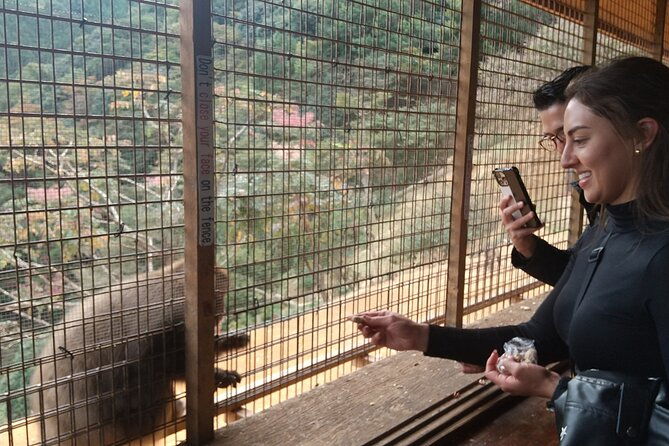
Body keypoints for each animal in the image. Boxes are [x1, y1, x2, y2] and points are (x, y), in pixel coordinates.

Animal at [27, 259, 249, 445]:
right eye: (219, 301)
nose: (221, 316)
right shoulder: (167, 320)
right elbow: (144, 367)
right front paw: (217, 375)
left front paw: (228, 341)